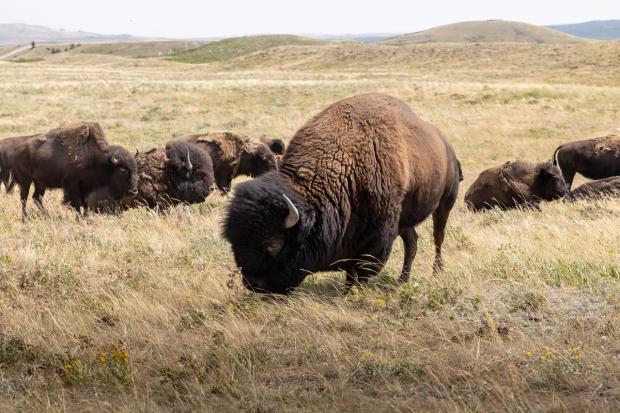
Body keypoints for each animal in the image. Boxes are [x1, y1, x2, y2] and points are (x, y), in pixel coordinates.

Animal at [222, 93, 460, 292]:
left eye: (273, 244)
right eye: (235, 243)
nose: (253, 284)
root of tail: (446, 145)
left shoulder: (376, 237)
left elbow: (362, 268)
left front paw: (354, 291)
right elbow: (351, 269)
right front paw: (348, 290)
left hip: (444, 204)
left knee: (437, 237)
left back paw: (436, 271)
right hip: (405, 219)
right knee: (412, 243)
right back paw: (402, 280)